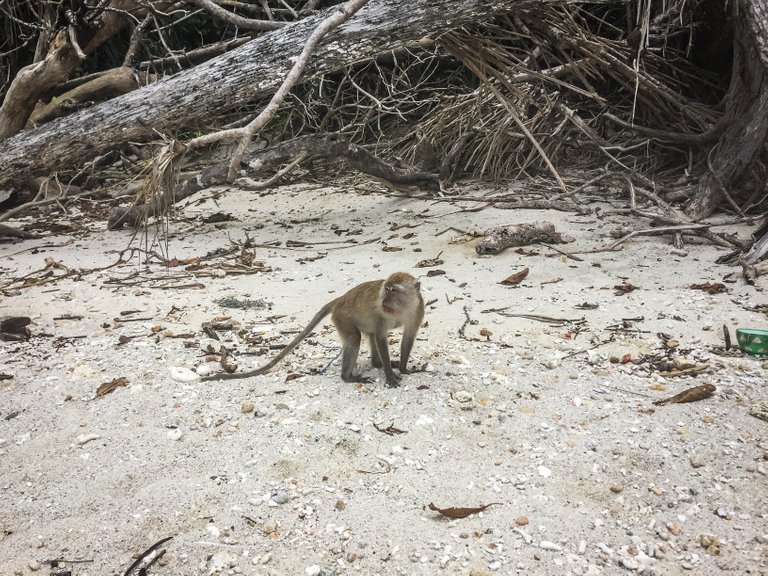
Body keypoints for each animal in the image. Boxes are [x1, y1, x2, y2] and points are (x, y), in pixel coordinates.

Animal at [201, 272, 424, 390]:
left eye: (393, 290)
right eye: (385, 289)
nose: (383, 301)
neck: (401, 309)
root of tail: (340, 299)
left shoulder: (418, 309)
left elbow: (408, 337)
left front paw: (402, 368)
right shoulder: (382, 316)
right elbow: (380, 336)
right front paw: (389, 374)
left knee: (365, 335)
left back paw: (376, 364)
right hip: (342, 317)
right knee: (354, 338)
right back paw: (349, 377)